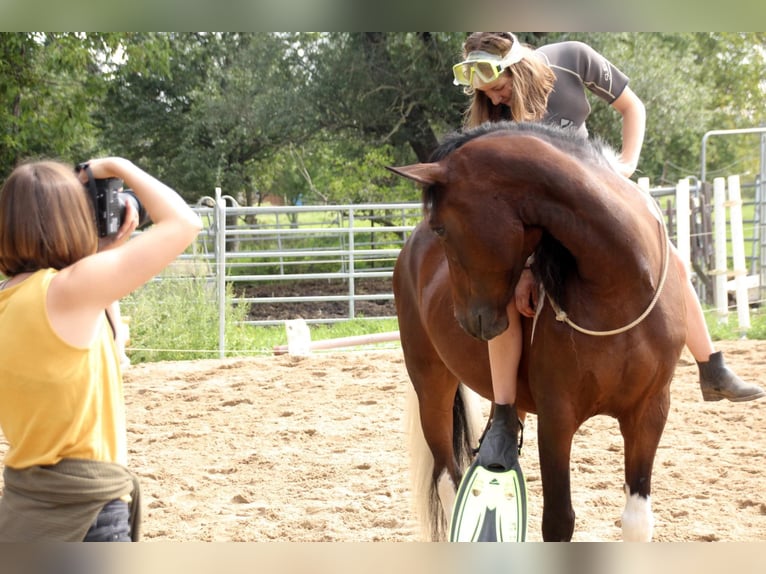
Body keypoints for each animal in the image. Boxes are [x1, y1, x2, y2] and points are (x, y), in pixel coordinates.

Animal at [392, 122, 688, 544]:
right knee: (448, 480)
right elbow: (559, 521)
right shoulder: (557, 420)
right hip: (431, 385)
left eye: (442, 227)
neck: (620, 288)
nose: (466, 319)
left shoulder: (649, 412)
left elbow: (636, 520)